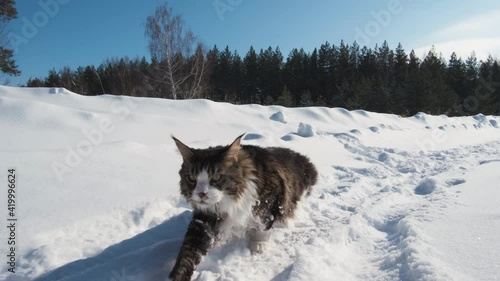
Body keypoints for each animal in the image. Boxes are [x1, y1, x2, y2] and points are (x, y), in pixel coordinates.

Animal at [168, 134, 316, 280]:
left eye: (216, 177)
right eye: (191, 178)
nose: (201, 194)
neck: (230, 199)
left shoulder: (272, 198)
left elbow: (264, 225)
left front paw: (258, 245)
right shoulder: (204, 219)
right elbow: (188, 254)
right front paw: (177, 275)